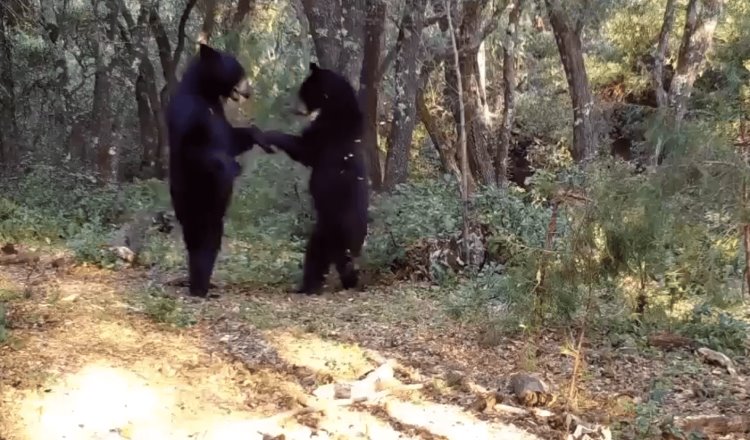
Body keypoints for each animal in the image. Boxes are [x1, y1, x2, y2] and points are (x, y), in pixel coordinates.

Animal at [166, 43, 274, 298]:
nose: (249, 91)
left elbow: (231, 137)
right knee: (202, 237)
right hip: (195, 198)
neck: (205, 92)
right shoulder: (189, 113)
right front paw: (232, 166)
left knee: (210, 238)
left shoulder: (219, 113)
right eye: (239, 72)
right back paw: (199, 288)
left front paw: (262, 138)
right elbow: (197, 149)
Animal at [264, 62, 370, 296]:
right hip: (327, 231)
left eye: (304, 89)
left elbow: (304, 148)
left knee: (330, 257)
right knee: (322, 258)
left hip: (336, 226)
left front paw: (268, 135)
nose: (297, 108)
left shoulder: (327, 132)